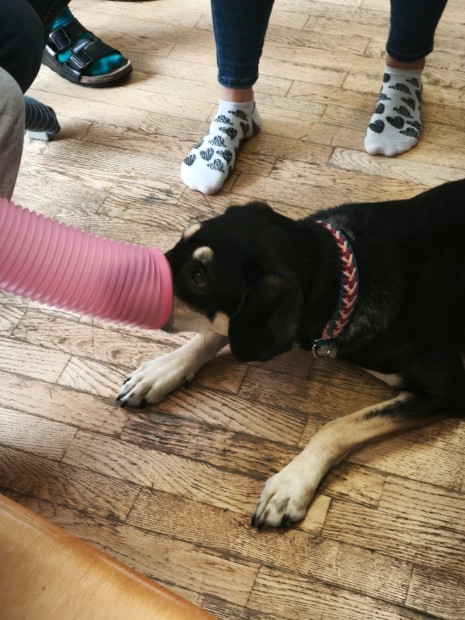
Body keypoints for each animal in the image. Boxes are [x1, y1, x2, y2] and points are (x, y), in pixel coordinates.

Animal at [117, 178, 465, 529]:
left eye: (199, 277)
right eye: (181, 240)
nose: (126, 274)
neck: (341, 273)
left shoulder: (444, 389)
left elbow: (338, 426)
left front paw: (291, 484)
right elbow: (214, 334)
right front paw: (161, 371)